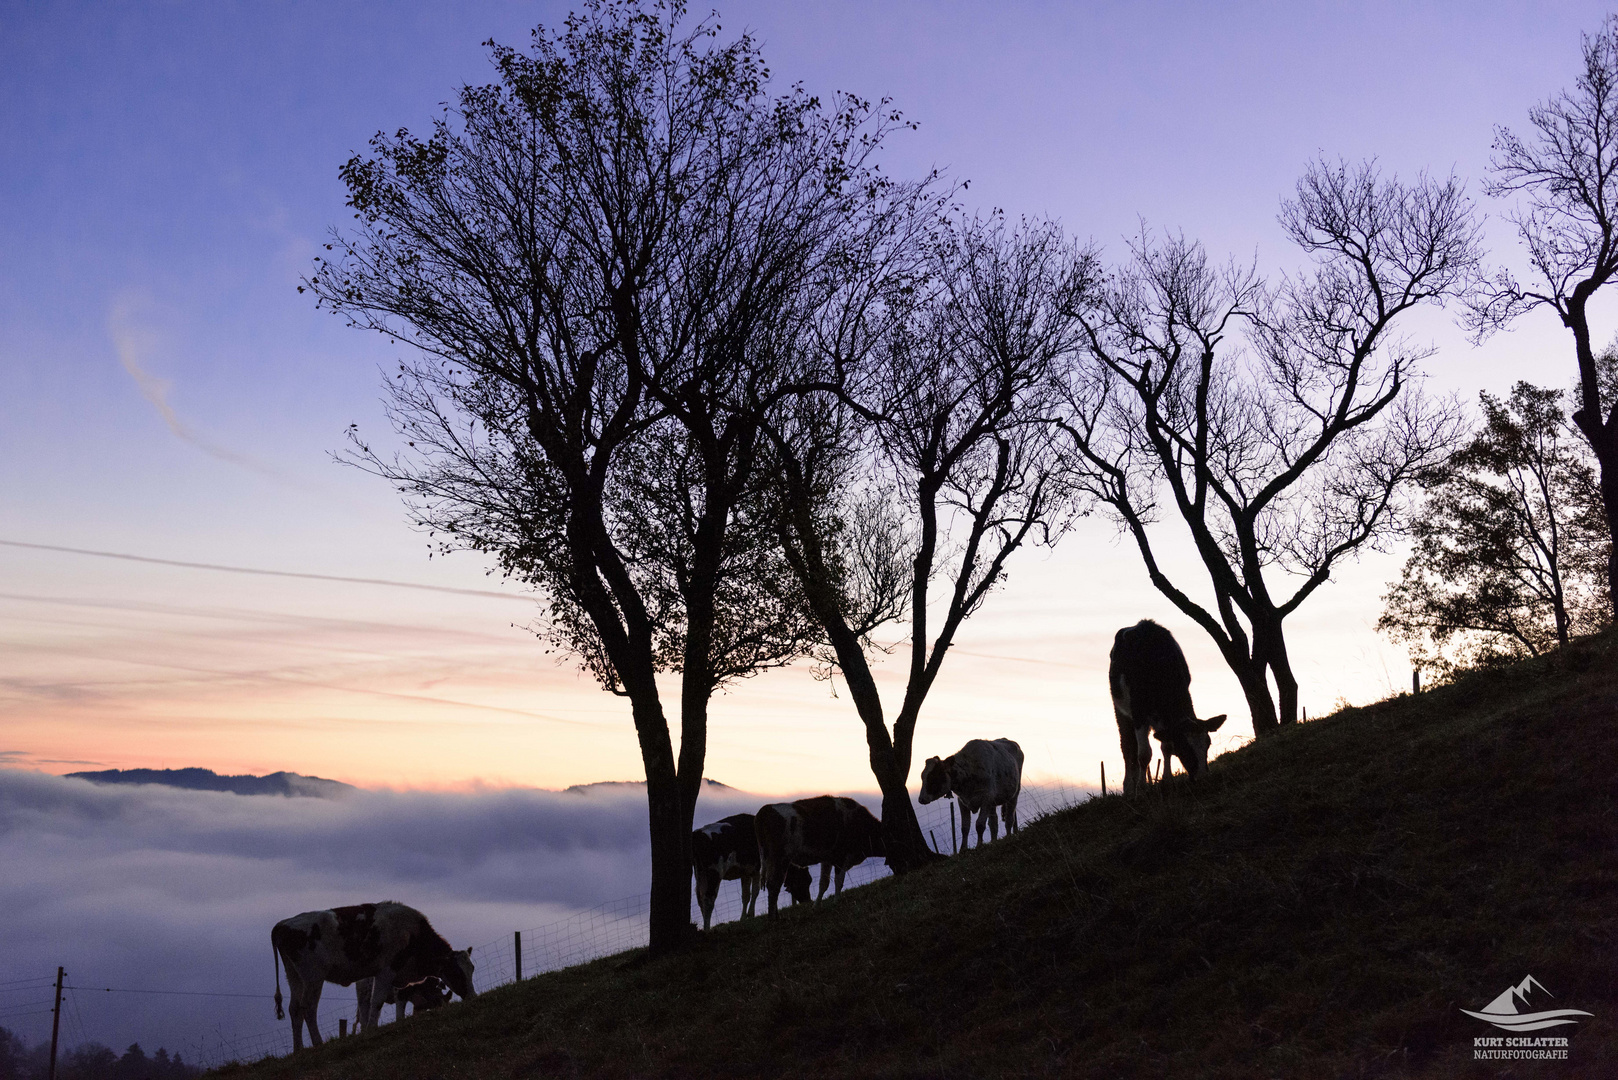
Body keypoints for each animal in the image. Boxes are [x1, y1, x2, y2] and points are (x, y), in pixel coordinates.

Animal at [268, 900, 472, 1049]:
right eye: (456, 971)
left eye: (472, 969)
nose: (472, 996)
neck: (411, 934)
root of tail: (283, 924)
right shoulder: (386, 971)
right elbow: (377, 1001)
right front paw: (372, 1030)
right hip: (313, 977)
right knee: (308, 1008)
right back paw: (318, 1043)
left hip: (294, 976)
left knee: (294, 1009)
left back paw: (298, 1049)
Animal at [753, 799, 886, 919]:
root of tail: (765, 810)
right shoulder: (840, 858)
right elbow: (838, 881)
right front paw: (837, 902)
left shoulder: (827, 859)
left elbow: (823, 883)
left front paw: (816, 906)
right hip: (780, 859)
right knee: (774, 885)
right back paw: (773, 918)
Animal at [1113, 615, 1223, 793]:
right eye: (1184, 746)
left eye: (1208, 743)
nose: (1202, 777)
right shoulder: (1138, 711)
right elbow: (1144, 754)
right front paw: (1141, 788)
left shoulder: (1165, 717)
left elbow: (1166, 747)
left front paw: (1167, 781)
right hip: (1121, 711)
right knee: (1128, 746)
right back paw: (1129, 786)